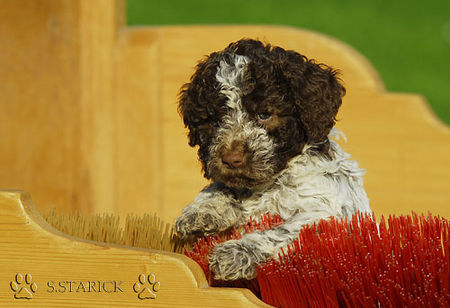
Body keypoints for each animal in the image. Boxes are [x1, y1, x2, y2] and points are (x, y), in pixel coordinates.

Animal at [173, 39, 370, 282]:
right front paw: (202, 211)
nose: (231, 159)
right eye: (216, 120)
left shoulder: (327, 214)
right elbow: (221, 185)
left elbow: (285, 230)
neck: (272, 182)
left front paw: (238, 252)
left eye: (264, 114)